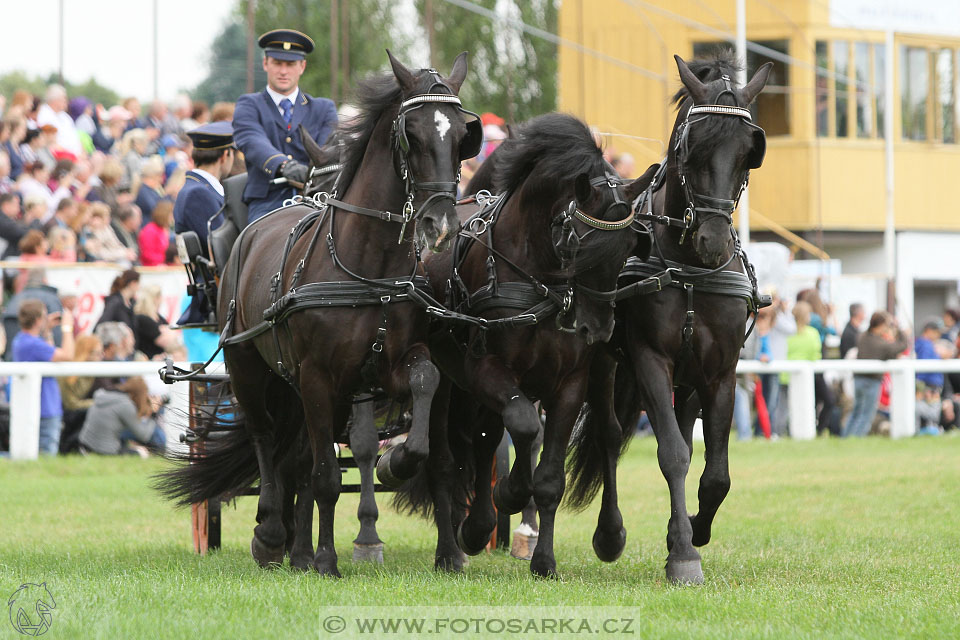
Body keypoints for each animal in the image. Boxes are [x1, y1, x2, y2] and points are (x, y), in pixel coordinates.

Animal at [159, 52, 488, 576]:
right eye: (411, 133)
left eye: (462, 135)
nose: (441, 225)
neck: (369, 267)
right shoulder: (318, 378)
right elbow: (327, 476)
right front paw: (328, 559)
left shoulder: (389, 367)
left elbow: (422, 398)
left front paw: (402, 473)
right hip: (248, 367)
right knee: (267, 441)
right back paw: (272, 535)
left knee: (296, 457)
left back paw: (296, 548)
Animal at [398, 112, 660, 576]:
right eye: (579, 244)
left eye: (632, 244)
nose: (596, 328)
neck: (537, 277)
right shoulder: (486, 369)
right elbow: (521, 424)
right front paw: (510, 492)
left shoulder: (569, 382)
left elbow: (549, 475)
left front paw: (545, 561)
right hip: (448, 380)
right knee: (449, 458)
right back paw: (455, 545)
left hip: (597, 372)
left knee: (603, 435)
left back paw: (604, 533)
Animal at [568, 53, 772, 584]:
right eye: (691, 148)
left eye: (748, 153)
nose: (714, 241)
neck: (689, 268)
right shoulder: (649, 359)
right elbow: (673, 454)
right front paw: (683, 553)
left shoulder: (720, 371)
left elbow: (715, 473)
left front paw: (691, 531)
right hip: (607, 361)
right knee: (609, 435)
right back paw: (609, 533)